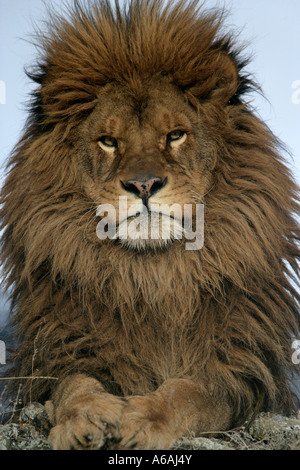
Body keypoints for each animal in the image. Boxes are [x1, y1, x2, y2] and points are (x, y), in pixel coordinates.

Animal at [0, 0, 300, 450]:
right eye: (109, 141)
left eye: (175, 135)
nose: (143, 184)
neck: (151, 277)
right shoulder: (61, 352)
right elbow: (74, 385)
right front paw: (83, 421)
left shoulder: (239, 372)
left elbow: (187, 392)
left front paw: (143, 420)